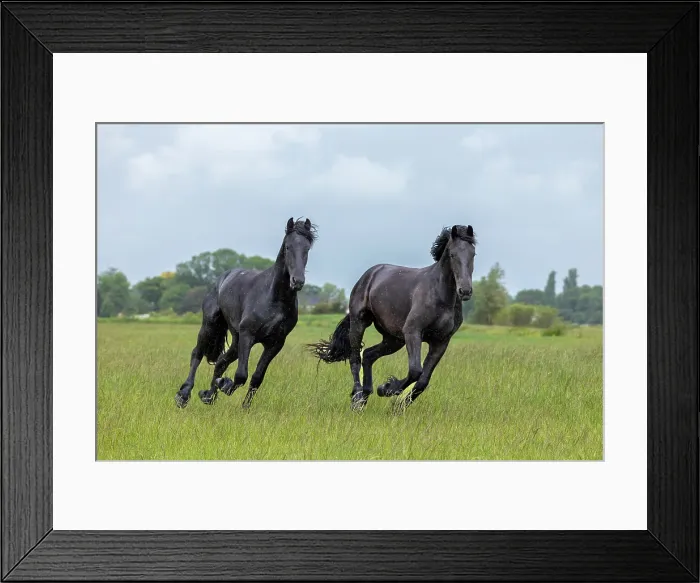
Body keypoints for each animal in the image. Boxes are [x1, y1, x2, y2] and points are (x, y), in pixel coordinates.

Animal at [175, 217, 318, 409]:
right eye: (288, 247)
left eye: (307, 248)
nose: (298, 281)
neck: (273, 297)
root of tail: (222, 278)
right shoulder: (247, 335)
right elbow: (241, 374)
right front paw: (225, 385)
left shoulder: (275, 343)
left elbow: (257, 377)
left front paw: (244, 406)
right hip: (211, 325)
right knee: (197, 353)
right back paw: (184, 395)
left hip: (235, 340)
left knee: (221, 362)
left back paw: (208, 396)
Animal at [308, 224, 476, 412]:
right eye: (453, 254)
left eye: (473, 254)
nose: (465, 290)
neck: (441, 296)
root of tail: (369, 274)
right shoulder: (413, 332)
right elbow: (415, 371)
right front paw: (387, 389)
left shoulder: (441, 341)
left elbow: (423, 380)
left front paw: (398, 405)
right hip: (360, 323)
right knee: (355, 358)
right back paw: (357, 398)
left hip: (394, 339)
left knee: (368, 355)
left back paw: (366, 394)